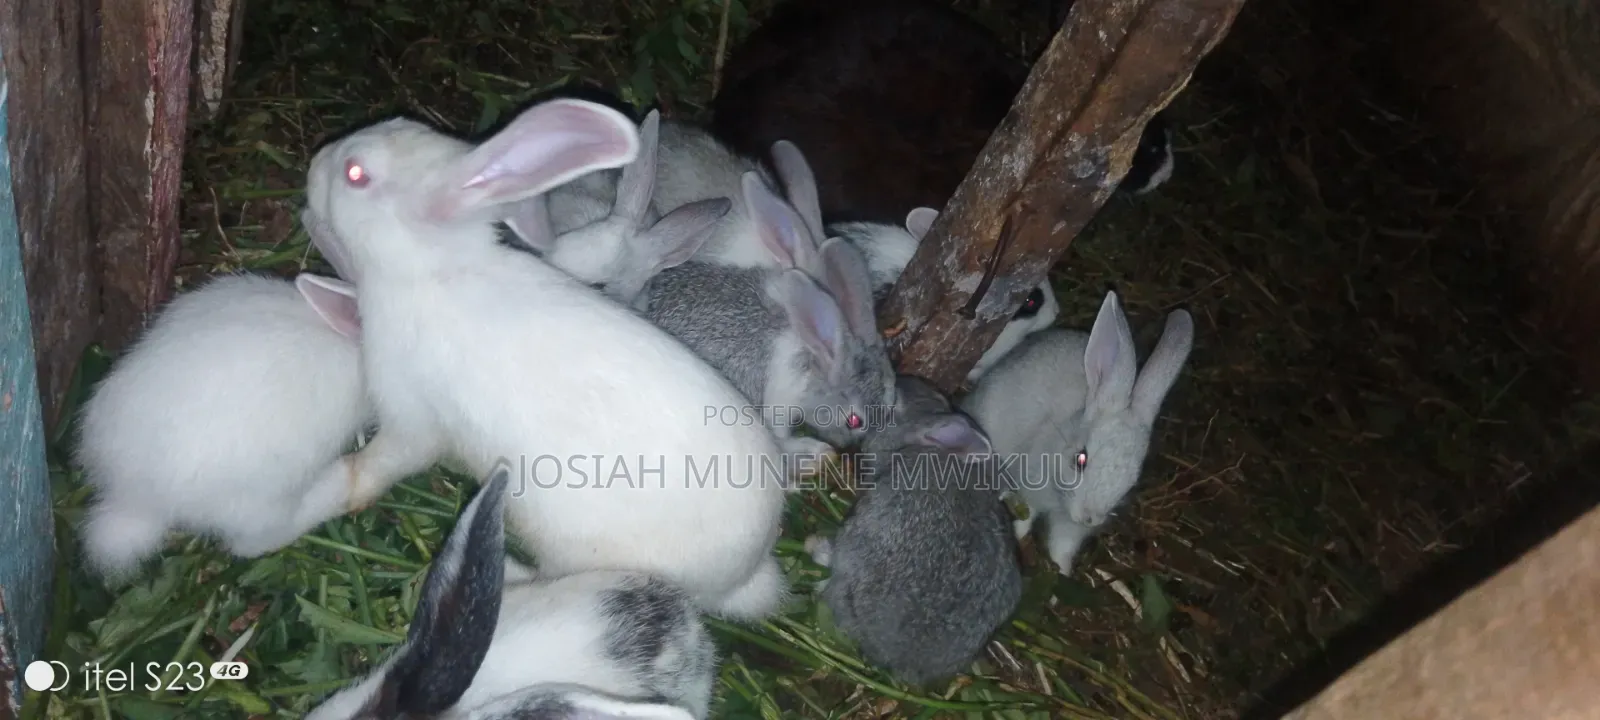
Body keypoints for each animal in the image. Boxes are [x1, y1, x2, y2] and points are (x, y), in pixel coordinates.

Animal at [637, 171, 896, 461]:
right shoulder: (777, 409)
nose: (851, 449)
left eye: (891, 404)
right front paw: (815, 449)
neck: (810, 358)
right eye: (854, 420)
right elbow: (782, 440)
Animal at [959, 290, 1194, 575]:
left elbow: (1063, 546)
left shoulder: (1070, 528)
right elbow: (1026, 515)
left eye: (1133, 480)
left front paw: (1063, 571)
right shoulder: (1028, 487)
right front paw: (1017, 536)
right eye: (1080, 459)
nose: (1089, 518)